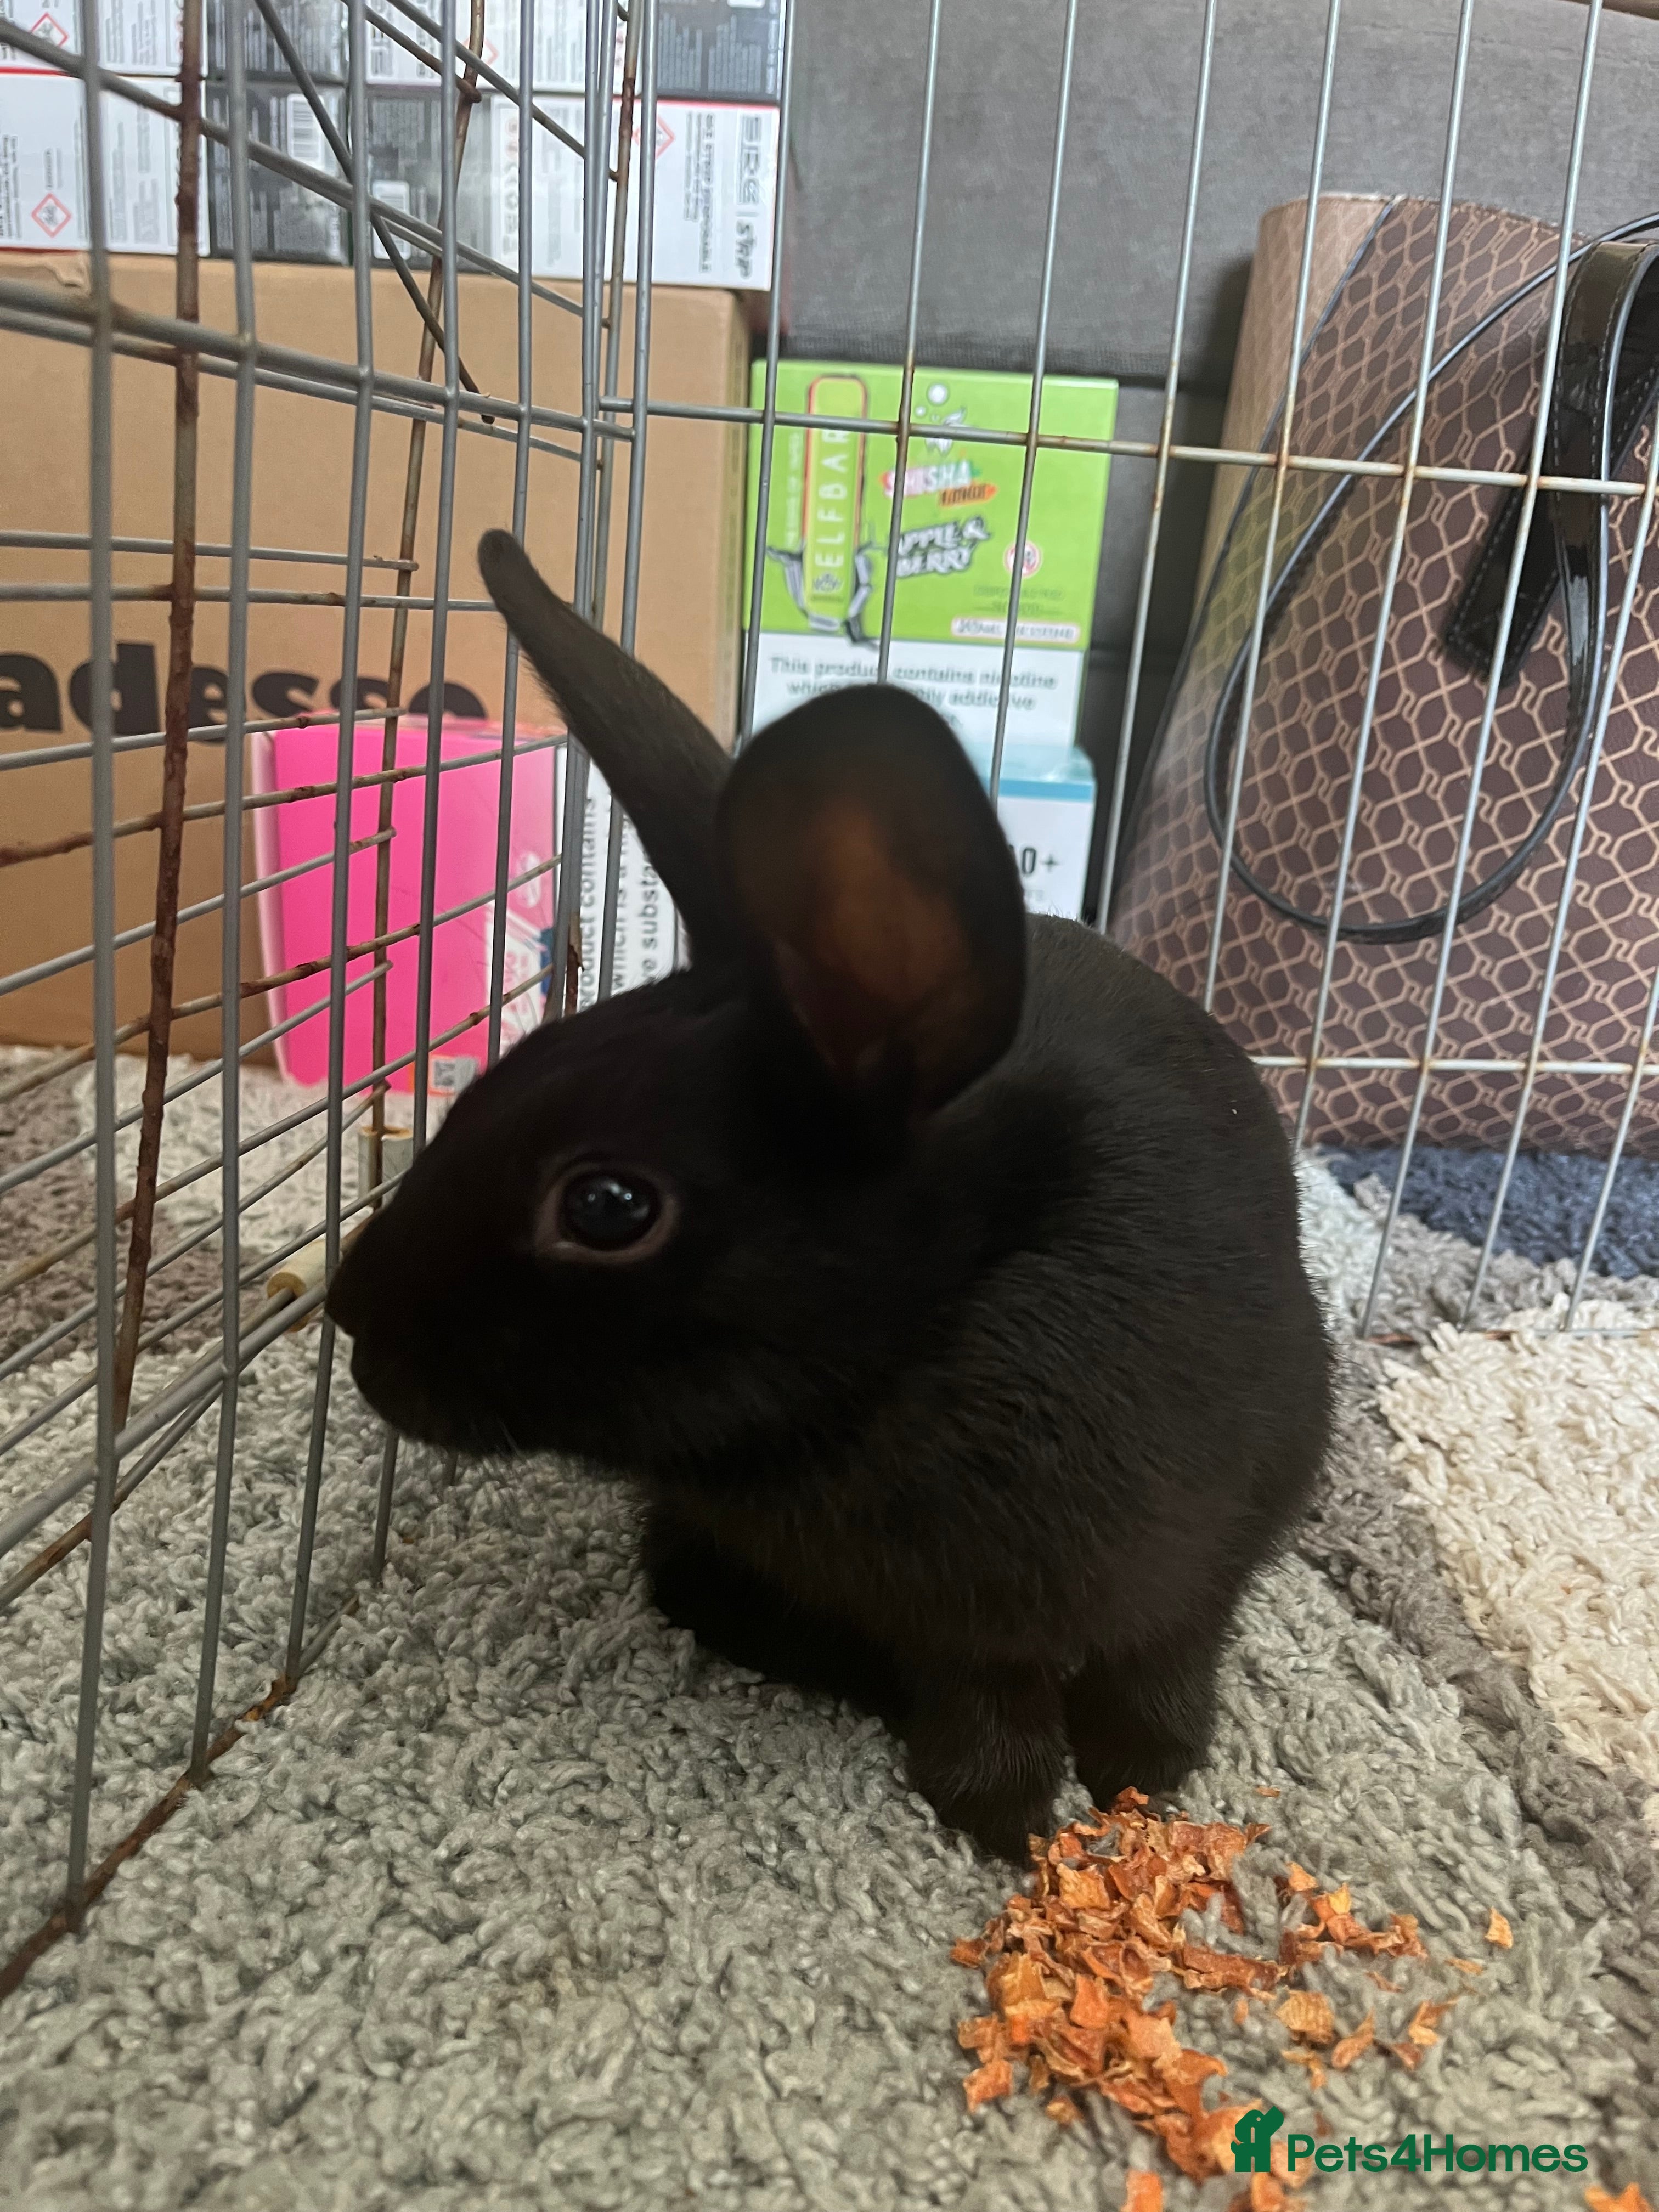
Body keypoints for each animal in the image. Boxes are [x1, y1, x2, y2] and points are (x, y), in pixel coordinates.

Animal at [325, 528, 1333, 1864]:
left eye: (607, 1207)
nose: (351, 1317)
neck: (932, 1329)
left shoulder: (1208, 1545)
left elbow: (1168, 1654)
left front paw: (1138, 1777)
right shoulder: (962, 1631)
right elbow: (981, 1697)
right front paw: (1004, 1812)